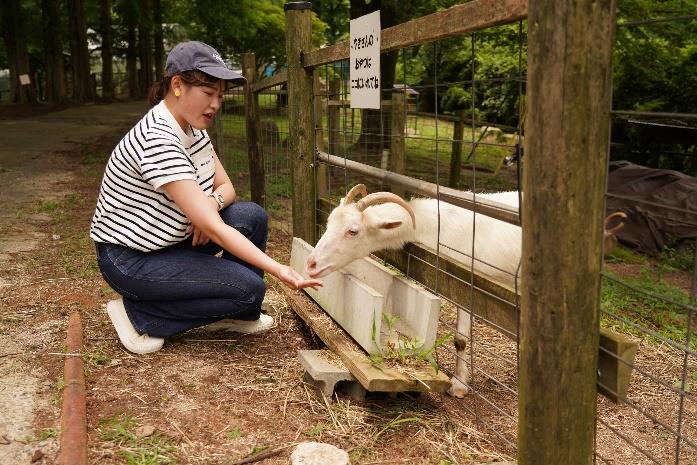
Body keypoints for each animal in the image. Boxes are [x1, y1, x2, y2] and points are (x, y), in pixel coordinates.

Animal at [306, 183, 520, 396]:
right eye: (329, 222)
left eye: (353, 231)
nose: (311, 264)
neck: (436, 226)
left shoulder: (466, 286)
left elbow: (461, 340)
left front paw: (459, 385)